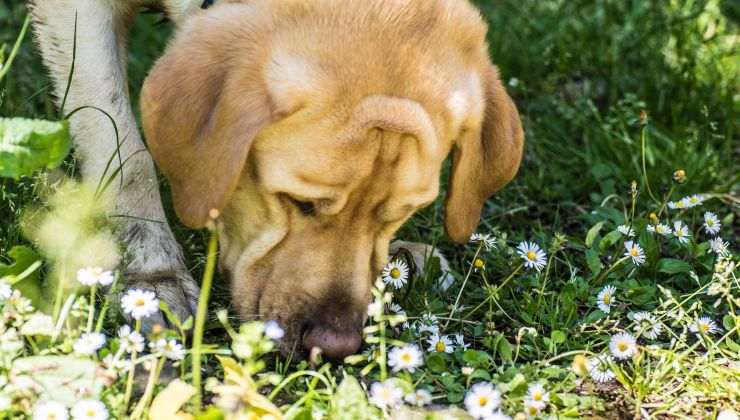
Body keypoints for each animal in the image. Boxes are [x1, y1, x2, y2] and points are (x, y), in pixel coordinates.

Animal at [30, 0, 528, 360]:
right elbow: (123, 150)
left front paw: (401, 259)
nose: (335, 347)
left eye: (401, 215)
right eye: (298, 201)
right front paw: (150, 274)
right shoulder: (78, 18)